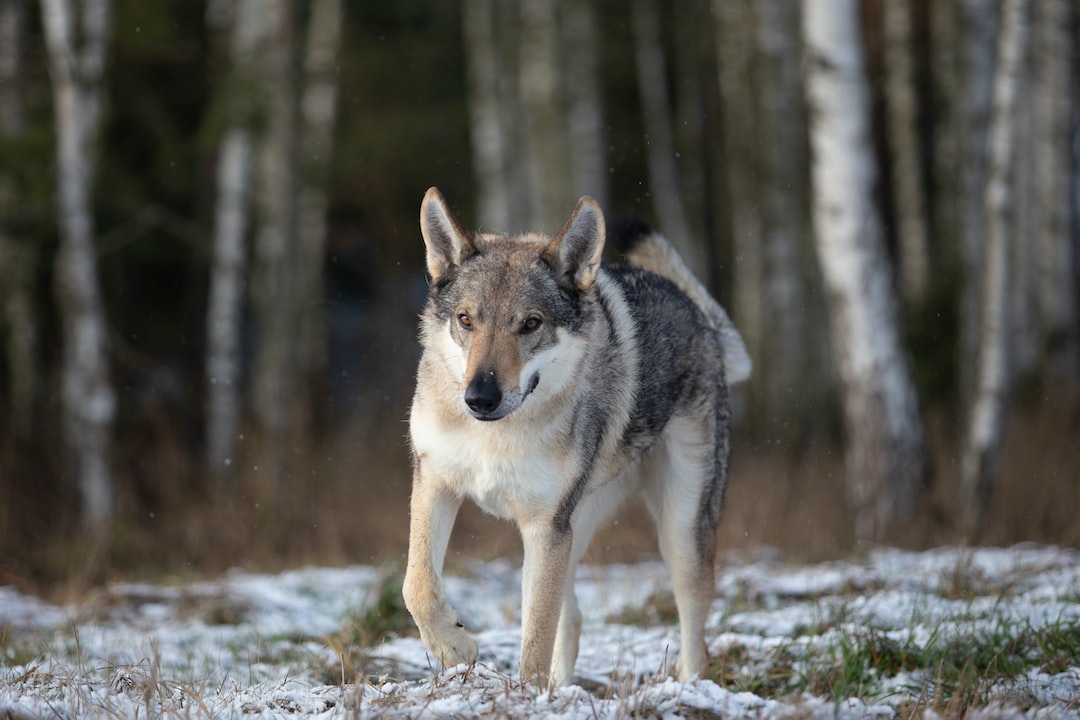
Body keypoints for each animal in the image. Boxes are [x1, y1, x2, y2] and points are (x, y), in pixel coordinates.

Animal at [401, 185, 747, 686]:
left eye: (530, 323)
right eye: (466, 320)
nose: (480, 398)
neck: (497, 437)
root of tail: (700, 318)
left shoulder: (545, 528)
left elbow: (534, 642)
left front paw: (522, 692)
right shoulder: (435, 483)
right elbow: (418, 586)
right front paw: (454, 647)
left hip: (678, 532)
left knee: (693, 623)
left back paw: (687, 687)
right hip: (574, 531)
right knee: (574, 617)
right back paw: (564, 688)